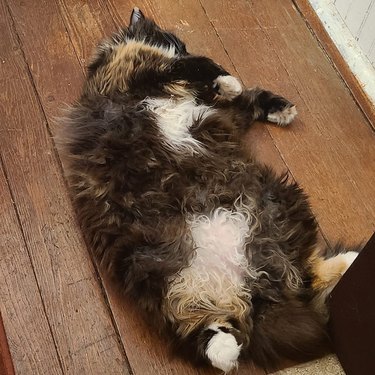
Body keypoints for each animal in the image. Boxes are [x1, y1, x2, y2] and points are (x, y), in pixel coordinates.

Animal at [56, 8, 362, 374]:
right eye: (175, 41)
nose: (184, 46)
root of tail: (250, 286)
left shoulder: (216, 113)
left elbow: (245, 99)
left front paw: (276, 106)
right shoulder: (131, 75)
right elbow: (193, 69)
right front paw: (225, 79)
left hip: (280, 208)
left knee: (306, 275)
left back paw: (350, 260)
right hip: (151, 272)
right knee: (206, 335)